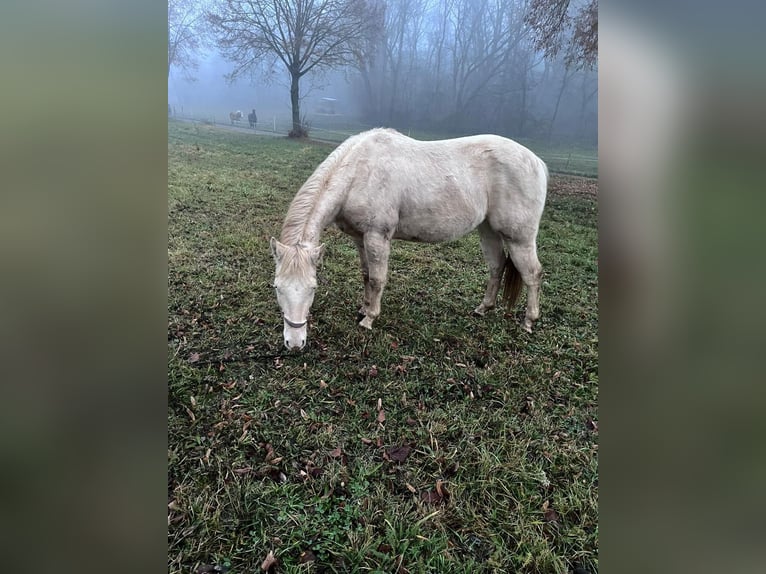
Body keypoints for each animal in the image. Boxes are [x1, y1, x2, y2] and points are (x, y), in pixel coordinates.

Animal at [270, 128, 548, 350]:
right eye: (277, 287)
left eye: (313, 288)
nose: (294, 343)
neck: (360, 172)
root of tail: (537, 162)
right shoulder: (360, 238)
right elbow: (366, 275)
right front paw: (363, 308)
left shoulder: (377, 236)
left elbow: (378, 279)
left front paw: (369, 318)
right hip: (488, 229)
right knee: (497, 266)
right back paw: (483, 308)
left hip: (519, 237)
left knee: (532, 274)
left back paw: (528, 322)